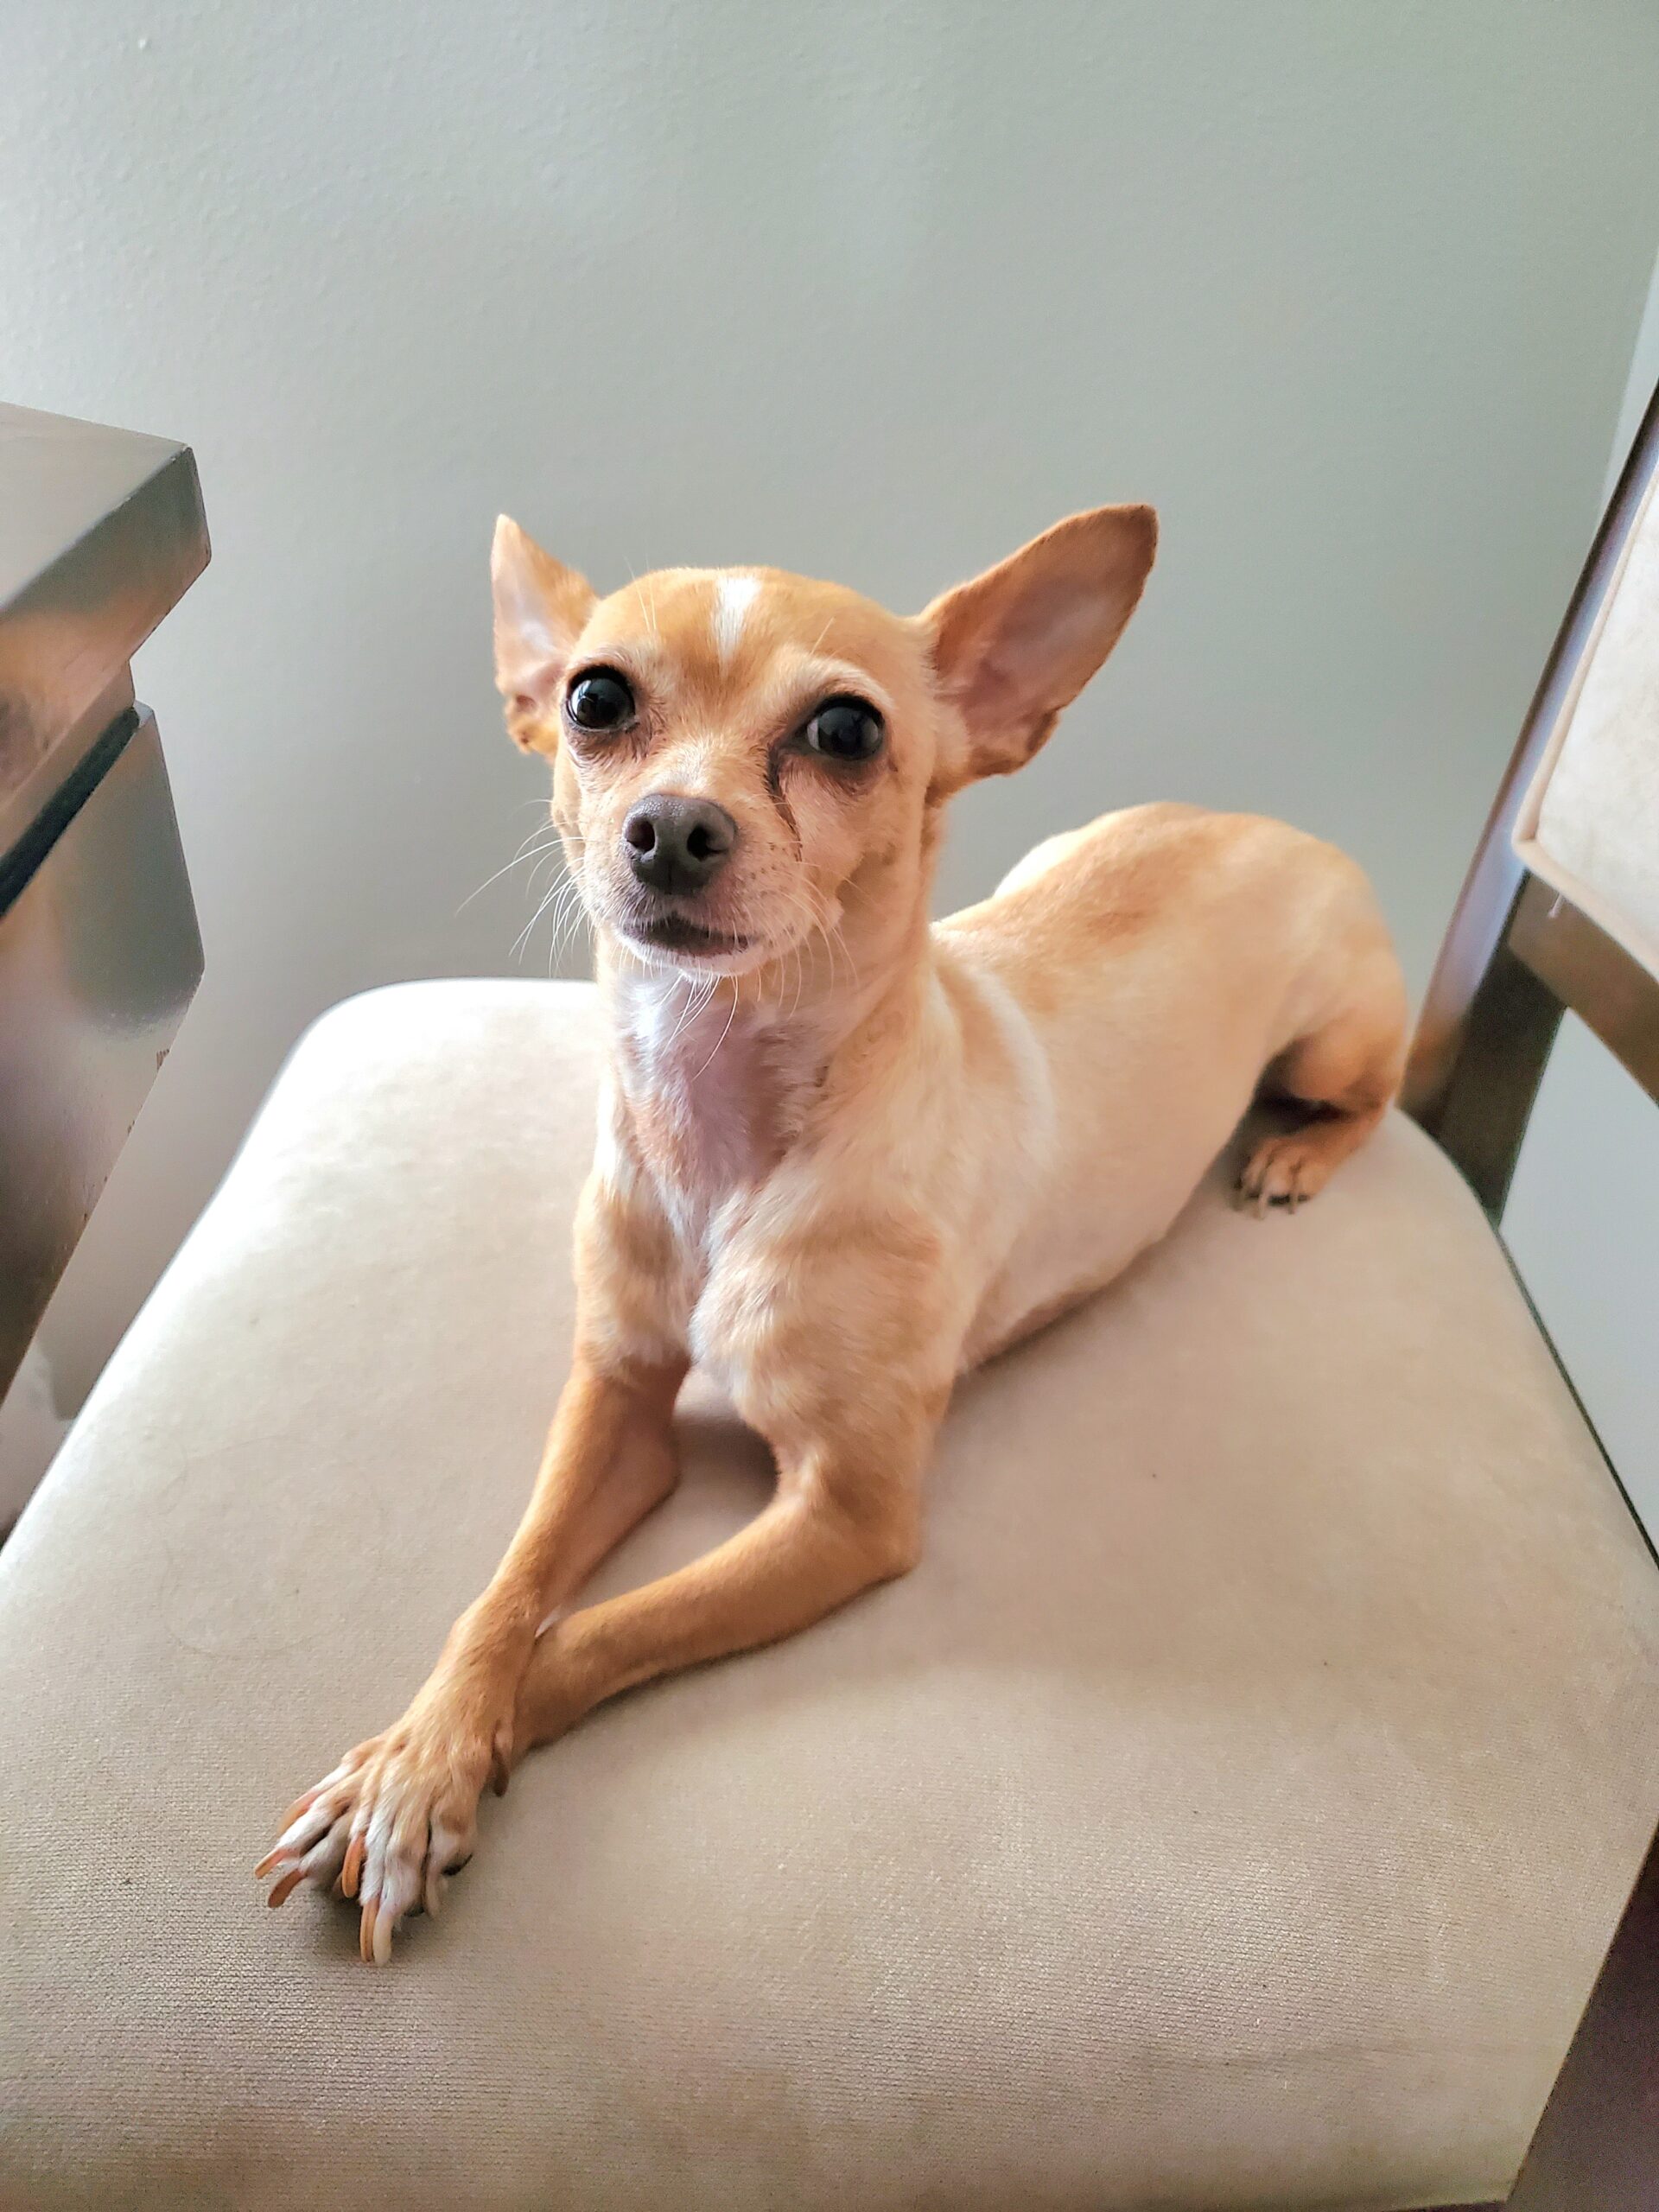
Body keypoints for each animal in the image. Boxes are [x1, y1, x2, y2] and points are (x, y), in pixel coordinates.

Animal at [259, 502, 1407, 1955]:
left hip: (1337, 1041)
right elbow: (503, 1596)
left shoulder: (847, 1514)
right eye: (593, 701)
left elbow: (592, 1633)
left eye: (848, 732)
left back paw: (1296, 1154)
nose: (671, 826)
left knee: (1376, 1093)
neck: (724, 1135)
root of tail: (1273, 824)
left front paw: (444, 1778)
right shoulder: (616, 1396)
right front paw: (418, 1756)